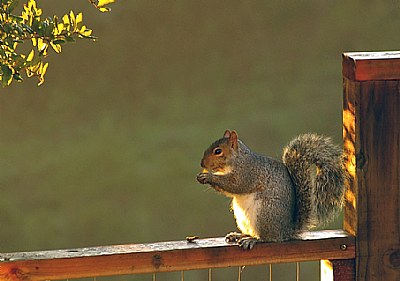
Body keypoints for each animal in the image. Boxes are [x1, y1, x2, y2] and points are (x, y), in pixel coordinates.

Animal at [197, 128, 346, 248]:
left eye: (218, 151)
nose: (202, 163)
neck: (238, 159)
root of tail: (286, 231)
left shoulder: (247, 172)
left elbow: (235, 184)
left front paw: (208, 176)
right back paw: (239, 235)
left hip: (265, 213)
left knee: (269, 238)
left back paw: (253, 240)